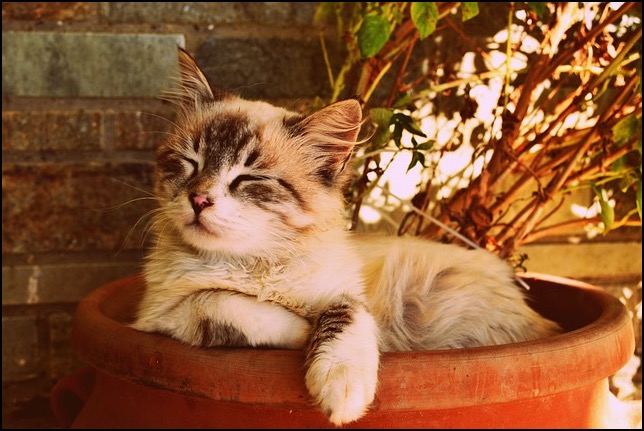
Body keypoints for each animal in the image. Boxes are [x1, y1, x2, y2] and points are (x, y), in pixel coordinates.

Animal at [132, 49, 564, 426]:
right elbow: (223, 302)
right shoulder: (162, 316)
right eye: (190, 162)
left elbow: (346, 319)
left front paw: (342, 390)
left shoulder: (345, 293)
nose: (199, 199)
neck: (253, 264)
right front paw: (301, 333)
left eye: (248, 178)